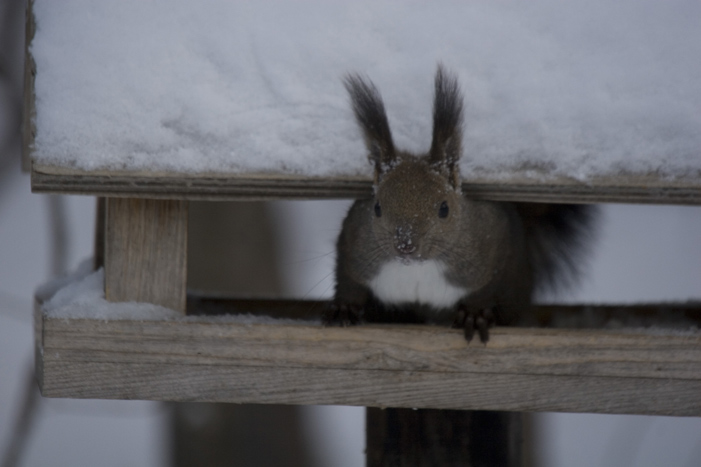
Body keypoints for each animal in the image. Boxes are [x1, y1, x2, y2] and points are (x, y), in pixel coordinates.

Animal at [323, 65, 597, 343]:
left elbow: (487, 286)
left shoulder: (494, 242)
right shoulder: (353, 244)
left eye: (444, 209)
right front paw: (345, 308)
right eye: (377, 208)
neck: (418, 267)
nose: (406, 245)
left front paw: (474, 315)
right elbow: (347, 279)